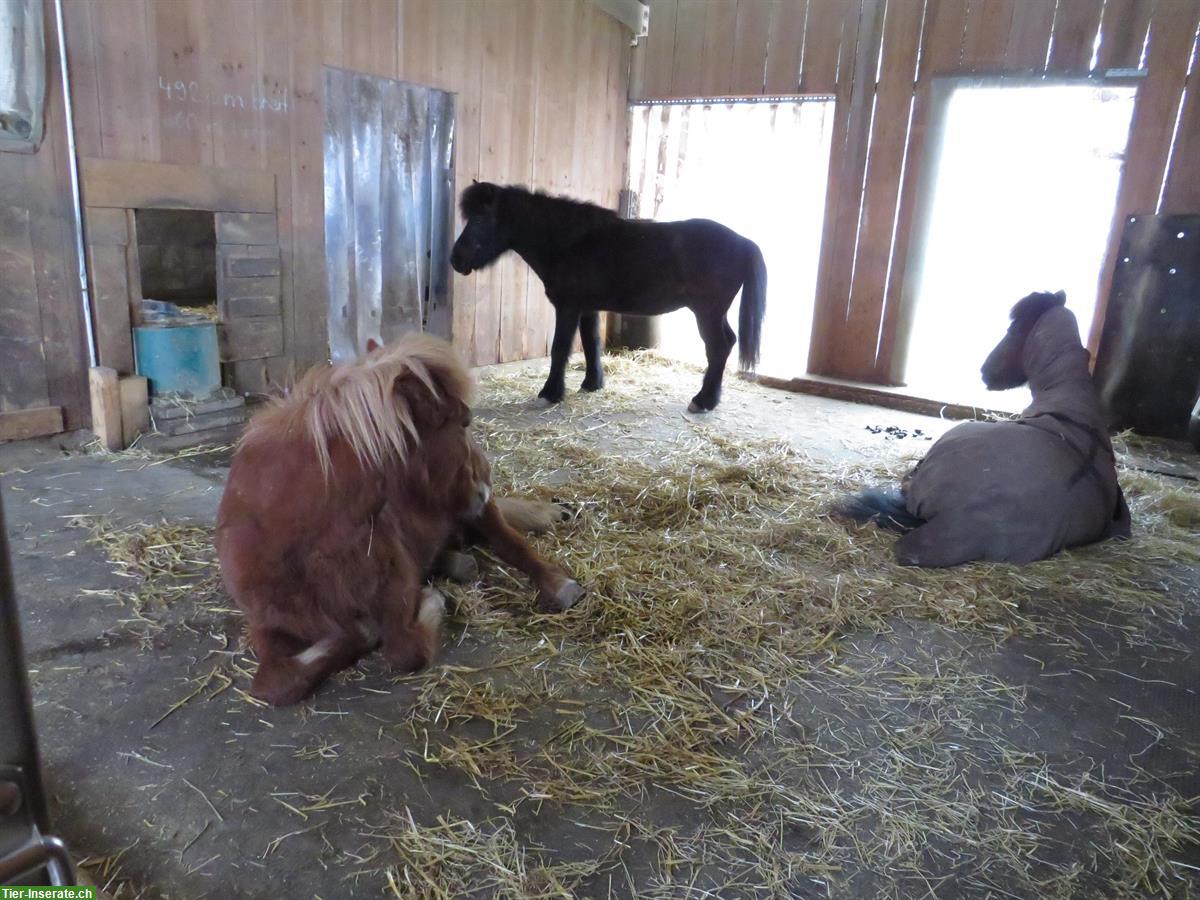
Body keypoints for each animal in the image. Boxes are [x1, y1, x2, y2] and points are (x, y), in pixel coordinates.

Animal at [219, 333, 585, 705]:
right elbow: (276, 683)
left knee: (508, 541)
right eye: (464, 422)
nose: (485, 481)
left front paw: (431, 602)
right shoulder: (267, 629)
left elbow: (403, 650)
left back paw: (553, 555)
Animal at [451, 183, 768, 415]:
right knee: (726, 344)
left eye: (479, 219)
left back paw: (703, 401)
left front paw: (550, 393)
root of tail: (744, 242)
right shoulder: (588, 309)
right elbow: (591, 344)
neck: (570, 242)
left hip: (707, 313)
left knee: (718, 348)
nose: (456, 260)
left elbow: (560, 349)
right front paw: (592, 384)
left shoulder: (567, 307)